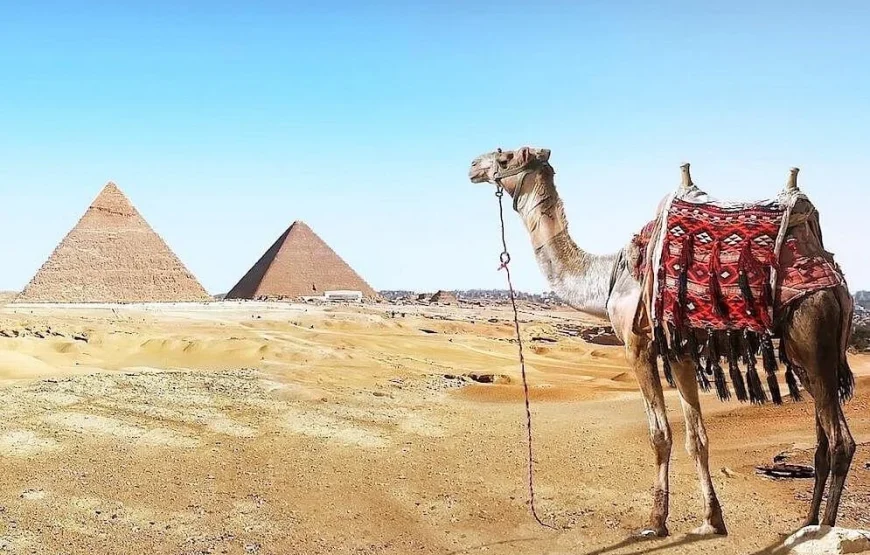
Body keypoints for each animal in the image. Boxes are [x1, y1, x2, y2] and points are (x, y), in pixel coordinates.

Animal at [468, 146, 856, 537]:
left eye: (505, 157)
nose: (473, 166)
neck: (606, 278)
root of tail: (835, 282)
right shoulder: (679, 351)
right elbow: (697, 438)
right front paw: (712, 520)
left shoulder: (636, 344)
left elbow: (660, 435)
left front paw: (656, 522)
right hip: (806, 356)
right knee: (823, 441)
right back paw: (806, 524)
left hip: (812, 332)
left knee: (841, 442)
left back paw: (825, 529)